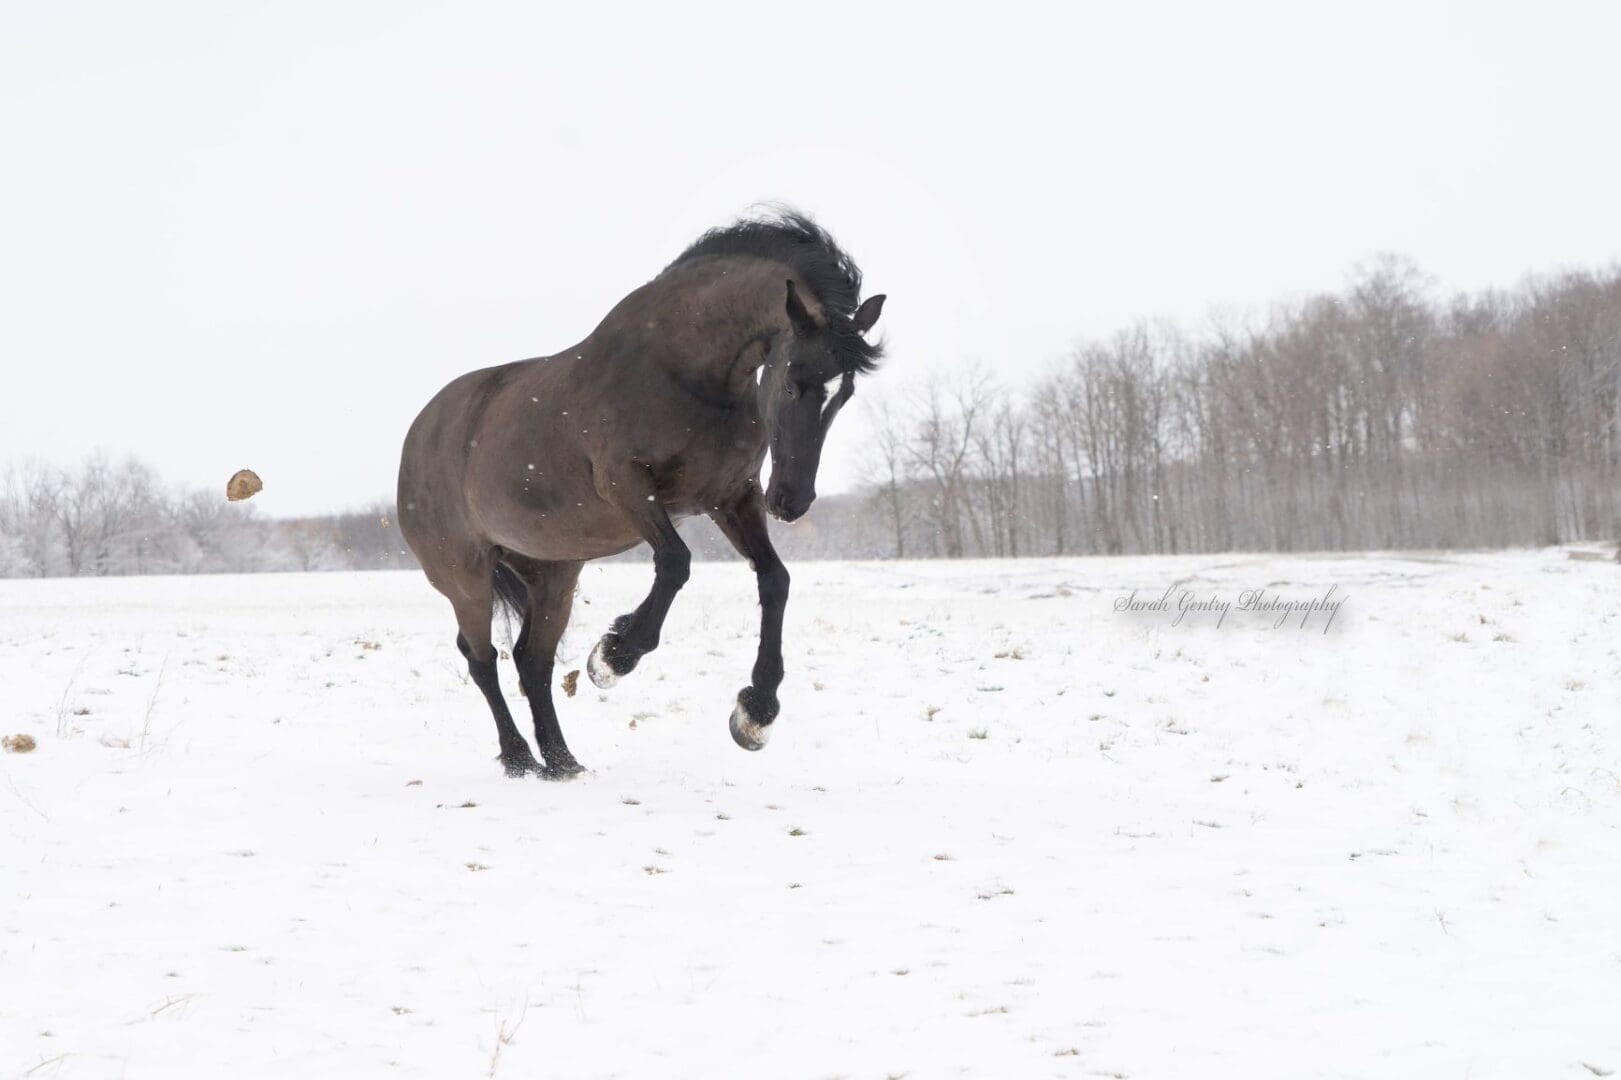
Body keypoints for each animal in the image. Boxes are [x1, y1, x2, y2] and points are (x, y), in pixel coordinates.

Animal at [402, 207, 888, 775]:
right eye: (791, 382)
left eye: (844, 393)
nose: (791, 502)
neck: (684, 370)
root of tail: (418, 434)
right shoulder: (628, 487)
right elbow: (676, 563)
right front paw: (612, 657)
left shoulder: (732, 497)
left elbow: (775, 579)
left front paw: (755, 714)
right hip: (467, 577)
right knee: (483, 662)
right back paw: (521, 757)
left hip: (553, 574)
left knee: (532, 660)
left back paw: (562, 762)